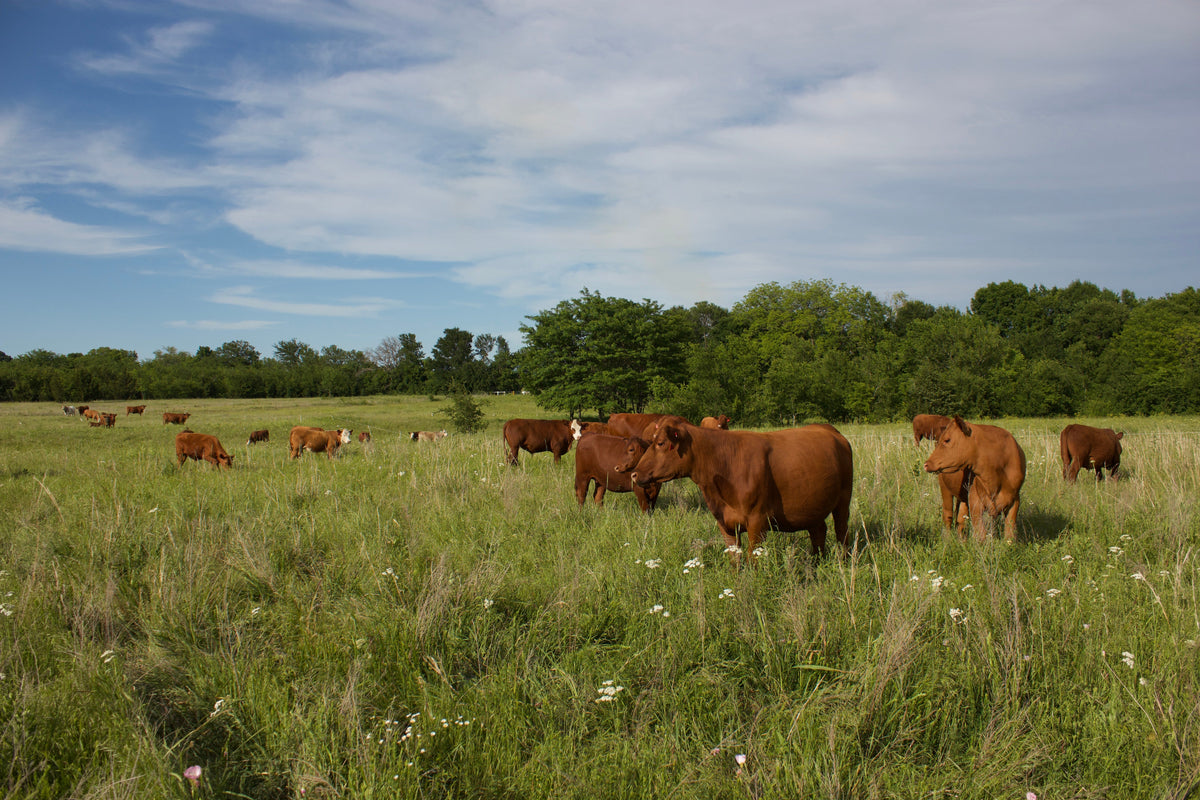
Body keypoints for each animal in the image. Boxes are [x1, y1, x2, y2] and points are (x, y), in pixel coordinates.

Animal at [622, 416, 854, 563]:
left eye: (661, 443)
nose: (634, 474)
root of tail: (829, 429)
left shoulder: (758, 522)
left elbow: (752, 561)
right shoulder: (725, 524)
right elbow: (735, 561)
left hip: (844, 500)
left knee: (842, 532)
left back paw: (842, 562)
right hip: (812, 504)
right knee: (819, 531)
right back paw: (816, 564)